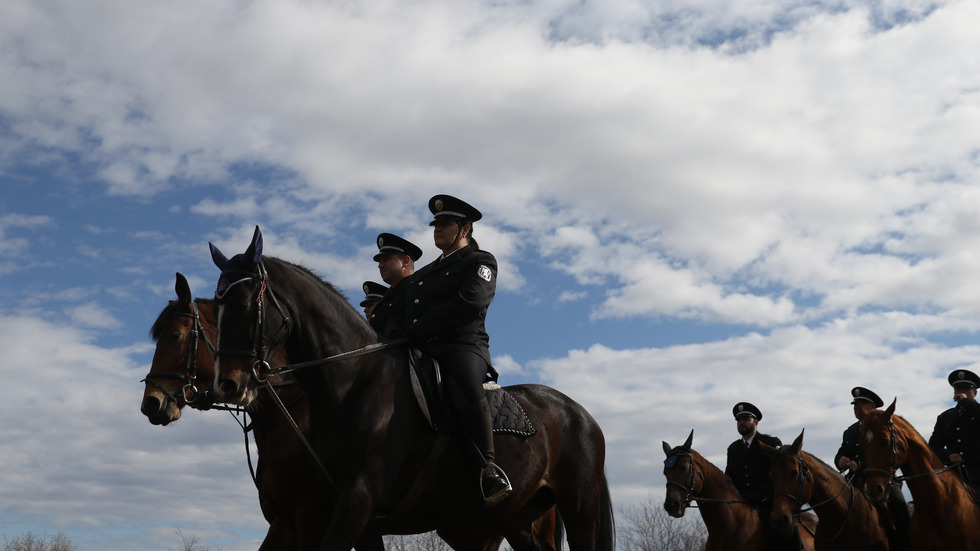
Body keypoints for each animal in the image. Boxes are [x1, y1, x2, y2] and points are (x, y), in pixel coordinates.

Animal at [208, 226, 612, 551]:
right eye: (215, 306)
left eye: (245, 303)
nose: (227, 385)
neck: (351, 381)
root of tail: (579, 412)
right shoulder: (350, 513)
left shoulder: (353, 500)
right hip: (517, 517)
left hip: (577, 508)